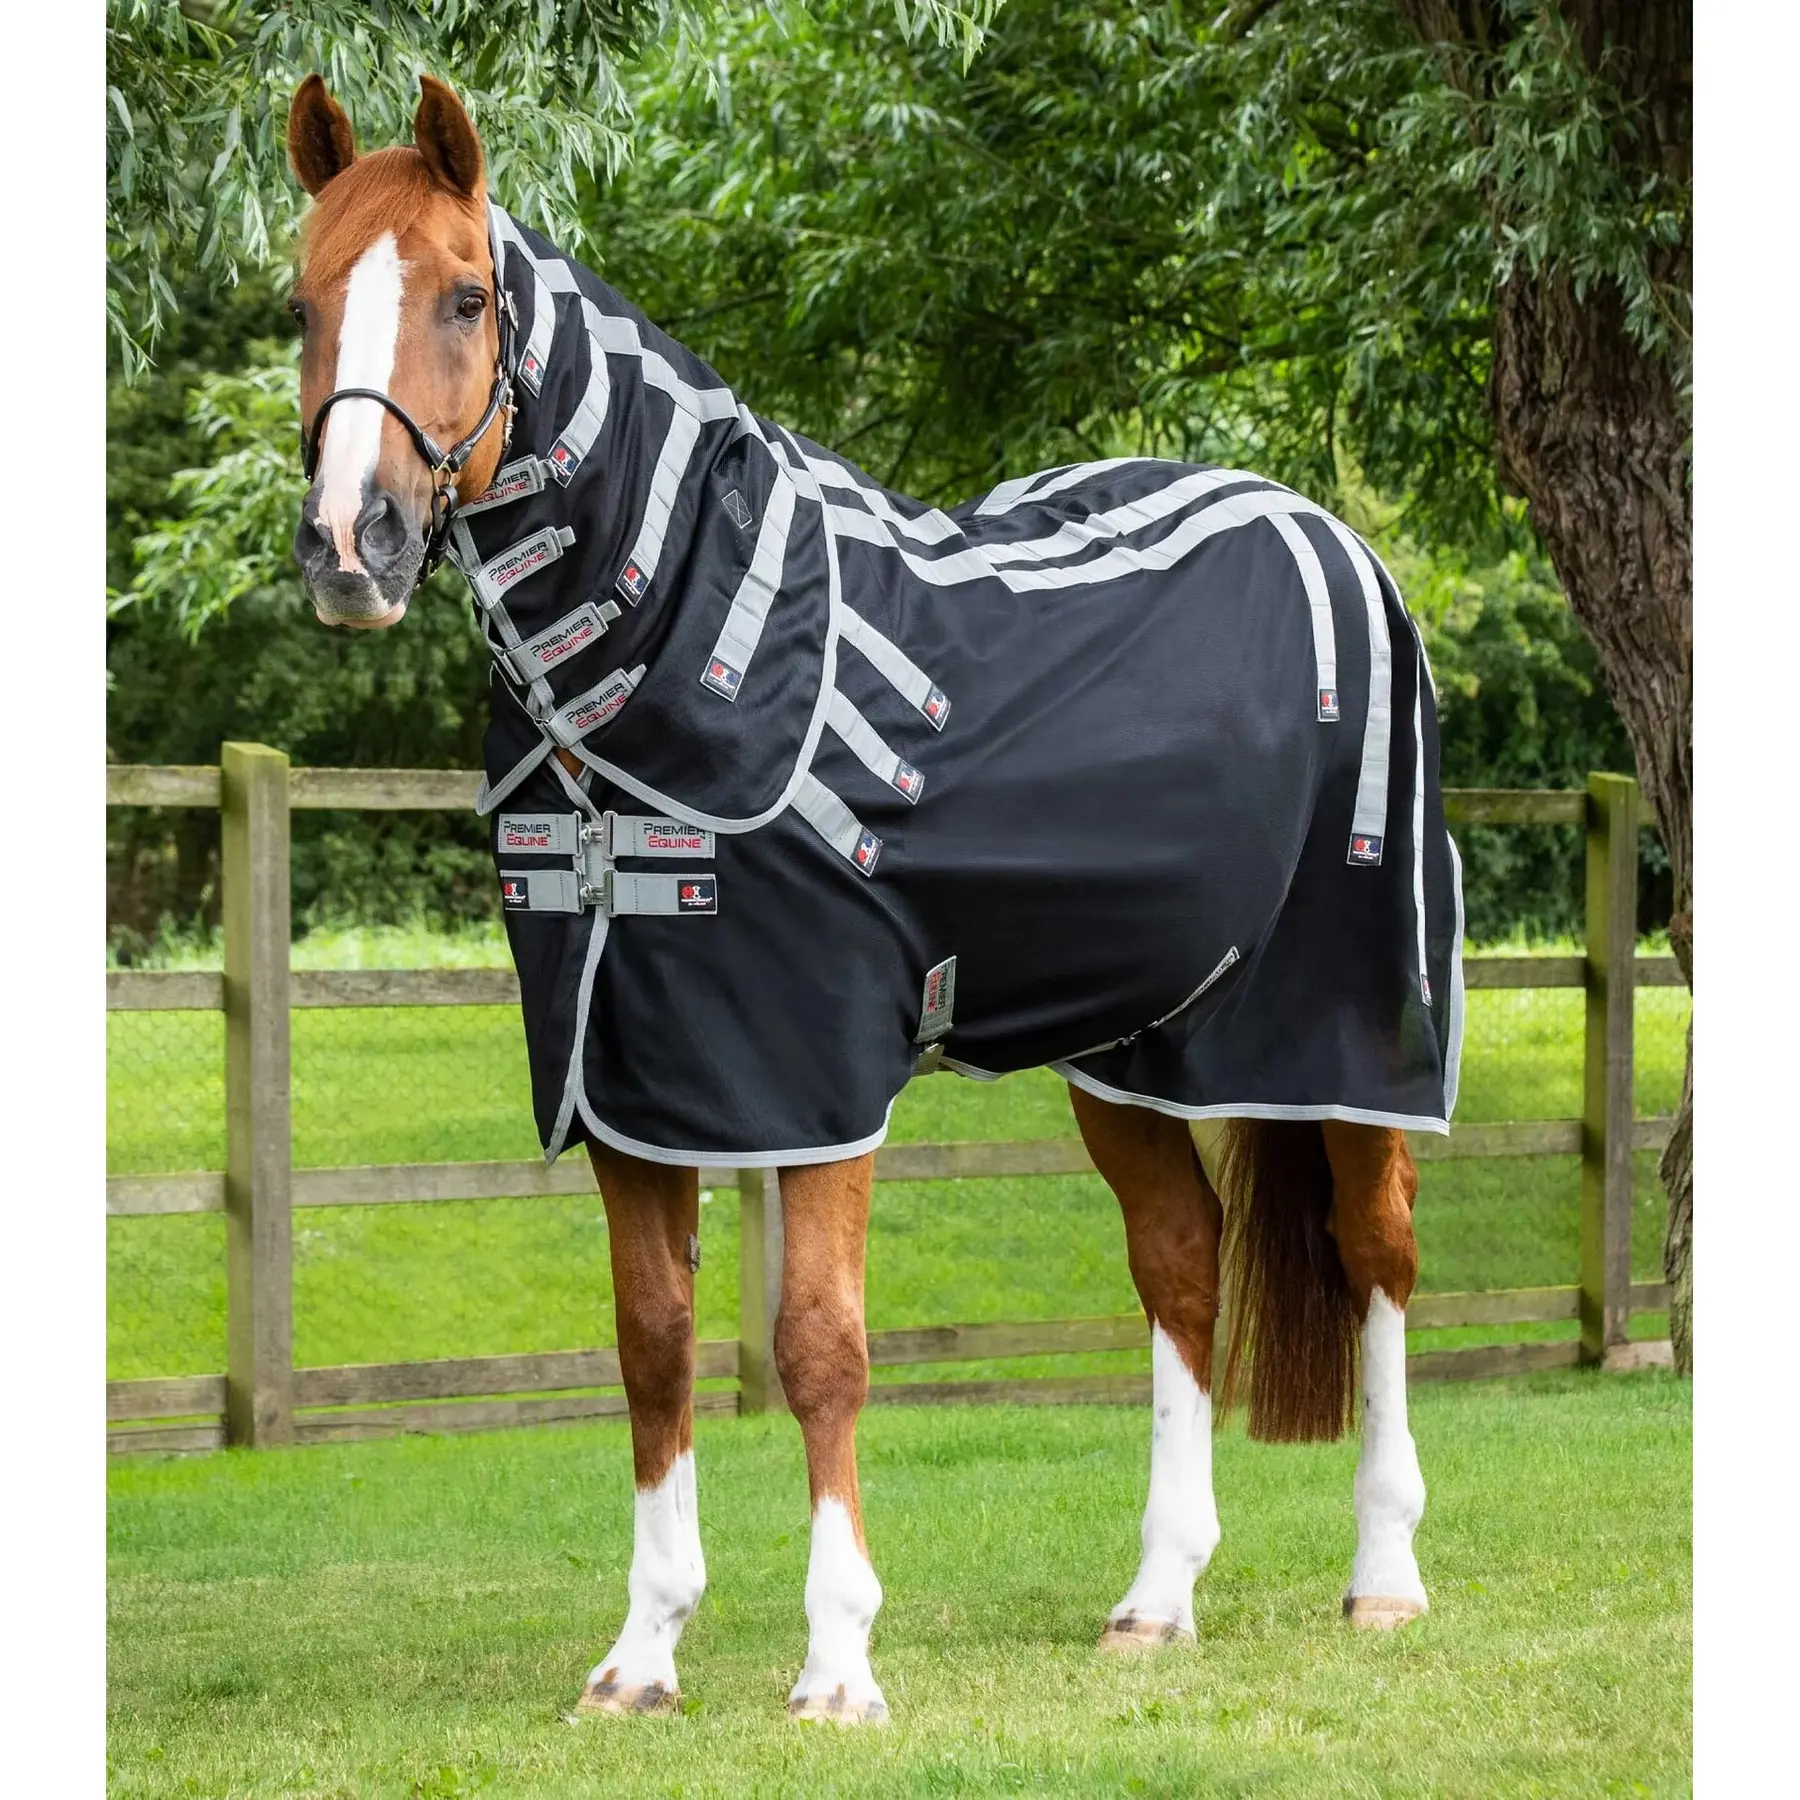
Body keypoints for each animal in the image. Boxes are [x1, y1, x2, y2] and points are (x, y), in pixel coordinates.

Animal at [282, 73, 1458, 1725]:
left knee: (1377, 1257)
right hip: (1126, 1047)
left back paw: (1385, 1576)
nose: (352, 546)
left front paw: (838, 1664)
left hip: (1346, 1038)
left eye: (462, 295)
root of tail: (1330, 534)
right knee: (1180, 1263)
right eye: (302, 303)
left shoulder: (809, 1067)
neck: (667, 668)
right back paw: (1157, 1597)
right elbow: (655, 1345)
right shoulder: (631, 1071)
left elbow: (820, 1345)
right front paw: (641, 1656)